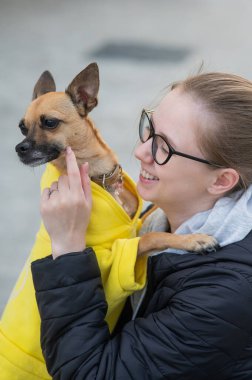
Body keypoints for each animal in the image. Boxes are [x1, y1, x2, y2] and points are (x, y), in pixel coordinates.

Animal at [15, 62, 217, 254]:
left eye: (50, 122)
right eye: (22, 127)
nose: (19, 148)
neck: (100, 177)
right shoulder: (108, 254)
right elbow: (151, 236)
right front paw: (193, 240)